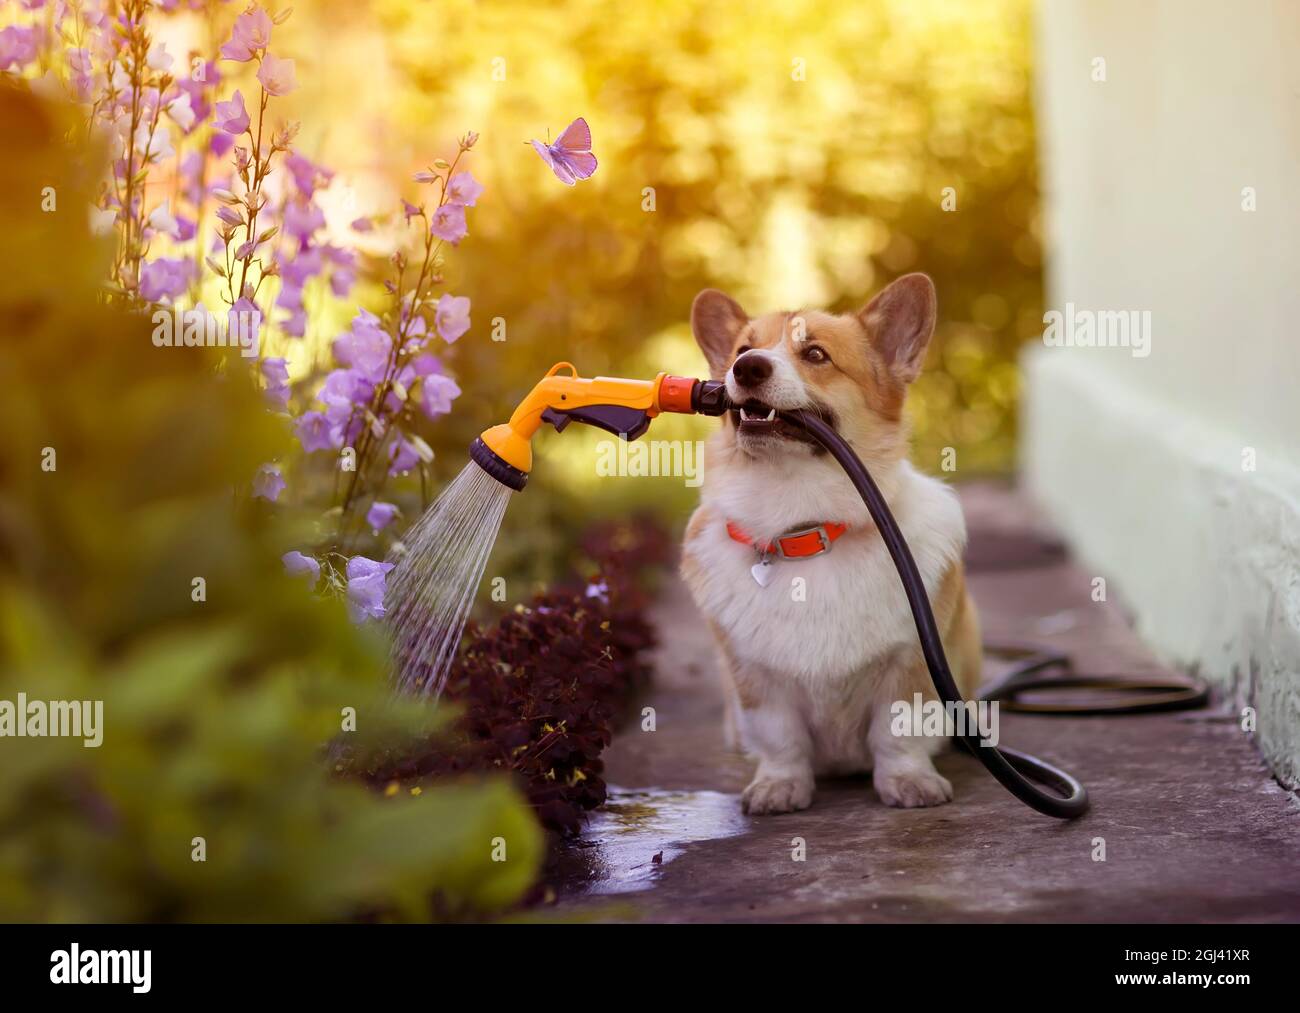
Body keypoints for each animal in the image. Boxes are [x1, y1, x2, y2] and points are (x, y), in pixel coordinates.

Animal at [681, 275, 977, 816]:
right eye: (742, 350)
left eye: (815, 354)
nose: (746, 368)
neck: (803, 527)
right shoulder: (755, 680)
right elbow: (781, 739)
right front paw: (779, 786)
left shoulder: (912, 665)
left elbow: (897, 731)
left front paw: (909, 782)